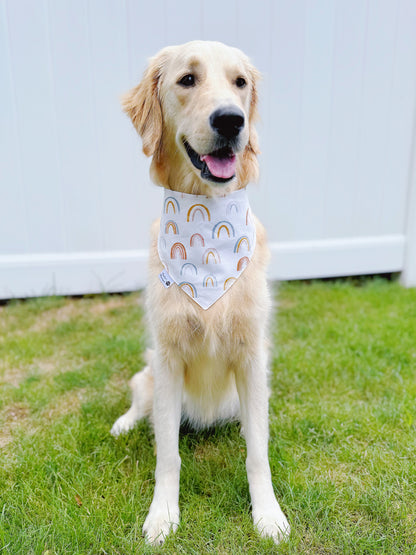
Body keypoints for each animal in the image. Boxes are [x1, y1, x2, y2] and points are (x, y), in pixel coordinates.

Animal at [112, 41, 290, 544]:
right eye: (187, 80)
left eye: (240, 82)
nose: (231, 120)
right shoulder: (169, 358)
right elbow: (167, 456)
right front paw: (162, 516)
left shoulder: (251, 356)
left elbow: (258, 454)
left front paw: (267, 514)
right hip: (150, 372)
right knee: (141, 402)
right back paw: (124, 423)